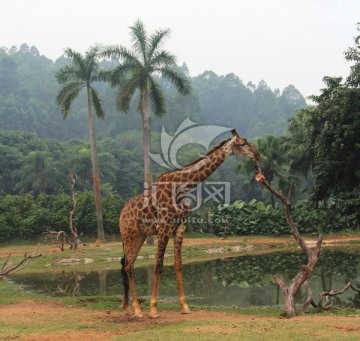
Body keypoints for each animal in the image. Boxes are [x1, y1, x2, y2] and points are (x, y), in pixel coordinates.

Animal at [119, 128, 260, 316]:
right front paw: (154, 308)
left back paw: (128, 308)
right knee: (128, 266)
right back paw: (137, 309)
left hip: (140, 235)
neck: (182, 186)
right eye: (243, 143)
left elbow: (178, 265)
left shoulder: (180, 227)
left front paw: (185, 306)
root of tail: (121, 214)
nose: (257, 154)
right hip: (129, 233)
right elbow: (158, 265)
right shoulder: (164, 227)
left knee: (128, 264)